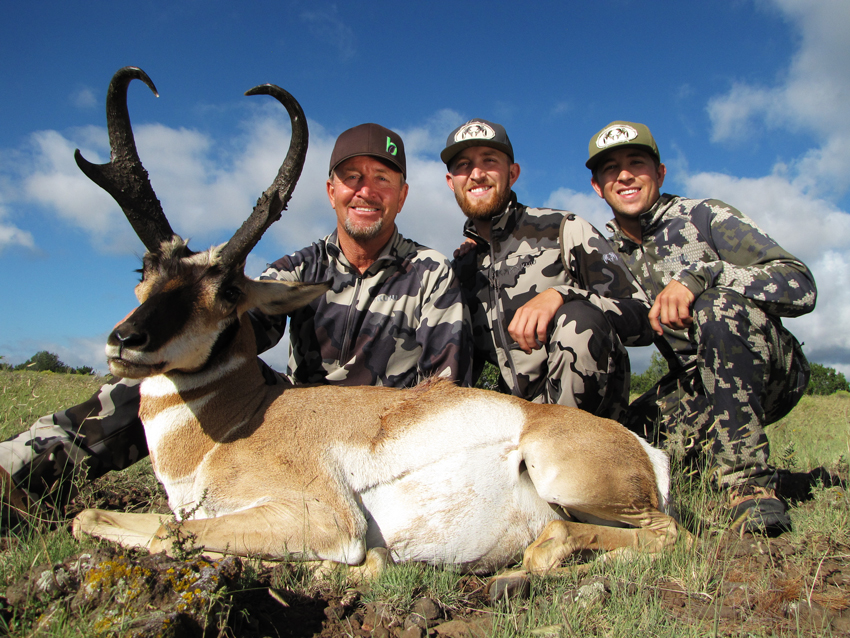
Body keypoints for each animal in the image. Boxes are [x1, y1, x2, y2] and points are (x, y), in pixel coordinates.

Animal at [73, 67, 684, 596]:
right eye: (144, 271)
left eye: (227, 292)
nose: (126, 342)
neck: (235, 425)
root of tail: (645, 452)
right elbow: (90, 516)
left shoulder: (325, 519)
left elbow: (168, 535)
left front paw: (346, 566)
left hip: (564, 477)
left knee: (660, 536)